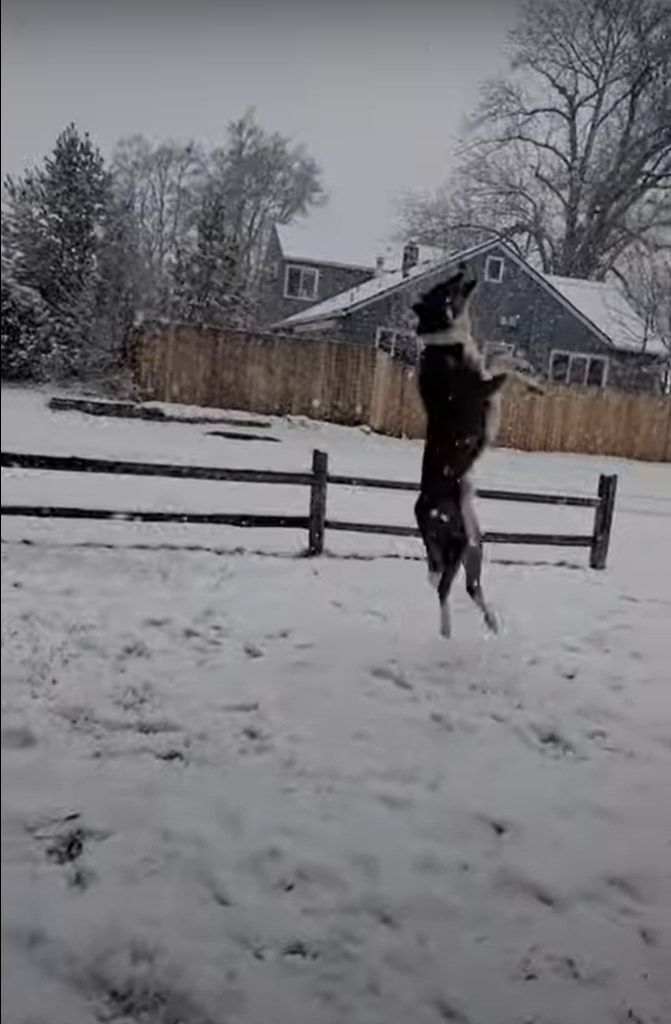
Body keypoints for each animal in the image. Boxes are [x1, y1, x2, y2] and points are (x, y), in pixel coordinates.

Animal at [409, 264, 510, 634]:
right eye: (445, 288)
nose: (462, 267)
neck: (446, 340)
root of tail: (421, 510)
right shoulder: (483, 388)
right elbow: (506, 367)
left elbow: (499, 356)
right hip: (456, 545)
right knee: (442, 588)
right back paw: (446, 630)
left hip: (473, 547)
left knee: (470, 587)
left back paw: (492, 622)